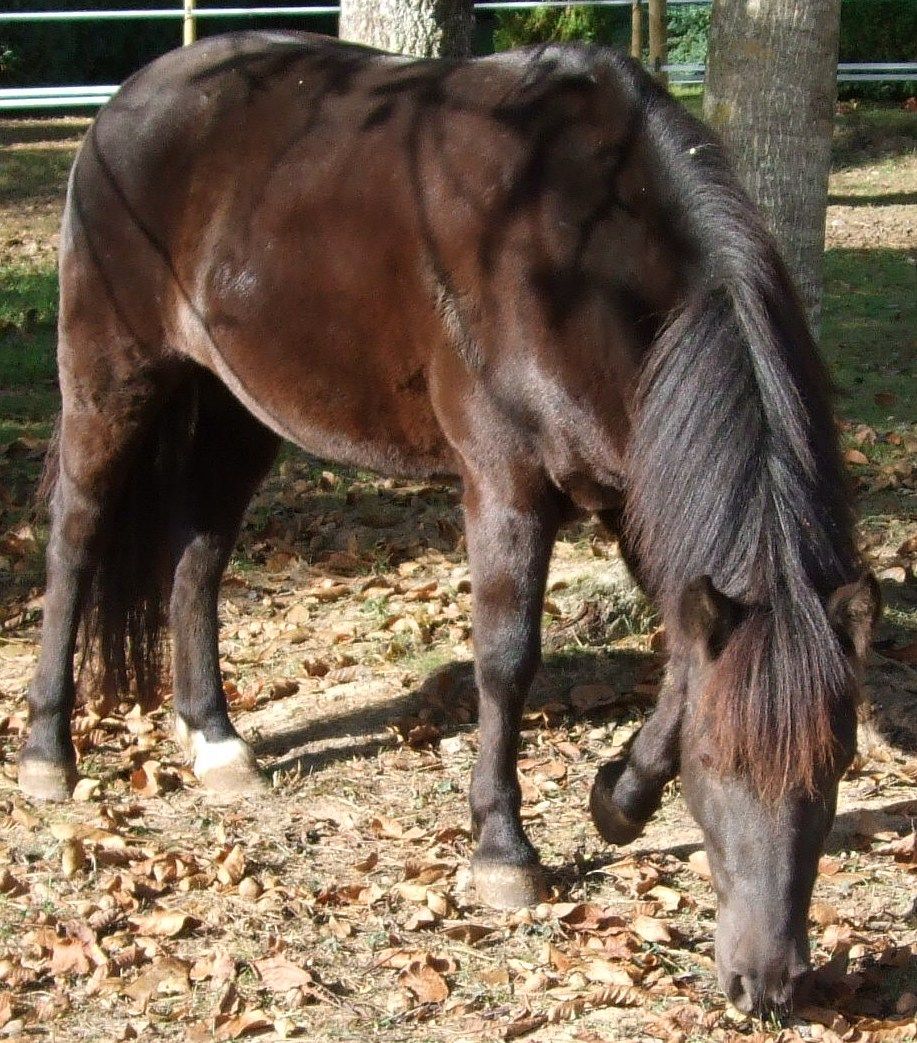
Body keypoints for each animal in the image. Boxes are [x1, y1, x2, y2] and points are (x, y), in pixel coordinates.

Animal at [18, 32, 879, 1012]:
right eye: (720, 764)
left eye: (838, 764)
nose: (767, 985)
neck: (578, 251)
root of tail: (131, 99)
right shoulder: (506, 486)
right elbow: (506, 662)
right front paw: (503, 850)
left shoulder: (636, 493)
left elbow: (678, 664)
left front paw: (616, 800)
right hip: (110, 378)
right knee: (75, 539)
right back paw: (49, 752)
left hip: (237, 407)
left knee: (196, 555)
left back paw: (215, 739)